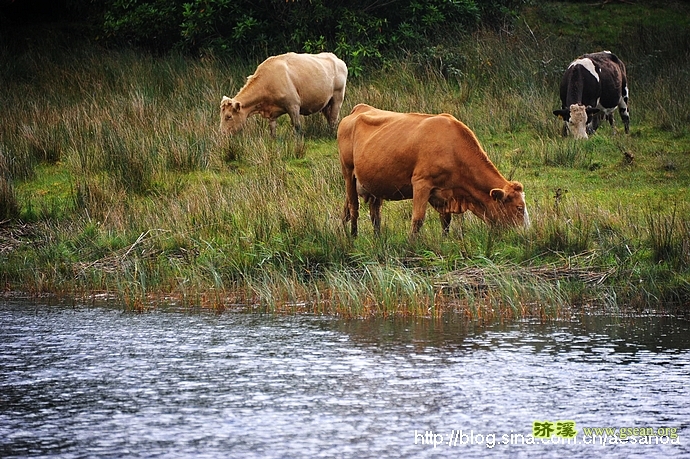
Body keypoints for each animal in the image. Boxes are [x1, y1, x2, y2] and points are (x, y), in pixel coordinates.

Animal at [338, 104, 528, 237]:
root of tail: (360, 108)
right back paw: (353, 237)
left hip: (375, 183)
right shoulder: (421, 183)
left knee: (373, 213)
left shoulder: (445, 194)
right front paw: (411, 246)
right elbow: (417, 220)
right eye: (519, 208)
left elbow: (446, 221)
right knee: (354, 208)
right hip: (348, 173)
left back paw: (377, 238)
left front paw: (445, 241)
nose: (526, 233)